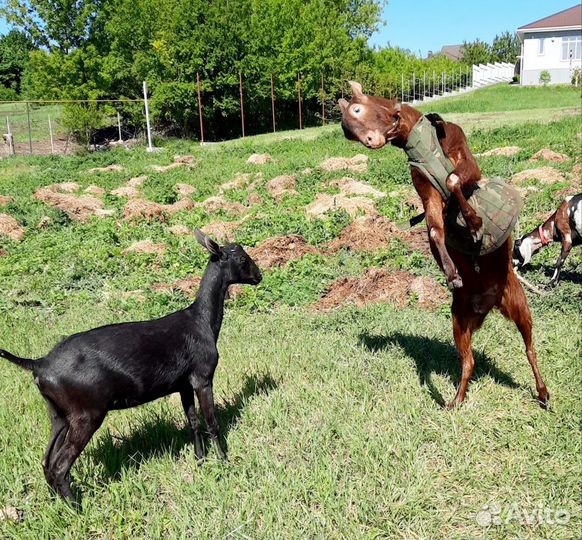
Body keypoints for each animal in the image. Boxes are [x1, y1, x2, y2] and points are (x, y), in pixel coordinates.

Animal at [0, 229, 262, 502]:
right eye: (242, 259)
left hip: (58, 415)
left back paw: (58, 502)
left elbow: (194, 421)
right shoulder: (203, 376)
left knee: (47, 462)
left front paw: (200, 460)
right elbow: (212, 422)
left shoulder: (183, 384)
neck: (201, 322)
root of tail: (39, 364)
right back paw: (75, 506)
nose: (259, 276)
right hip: (86, 414)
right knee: (60, 465)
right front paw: (223, 462)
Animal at [340, 82, 548, 408]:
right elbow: (435, 230)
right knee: (469, 361)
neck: (418, 138)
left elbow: (452, 180)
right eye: (347, 132)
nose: (370, 141)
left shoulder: (466, 161)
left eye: (358, 110)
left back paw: (543, 393)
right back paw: (455, 401)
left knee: (529, 348)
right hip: (459, 318)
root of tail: (489, 303)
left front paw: (474, 223)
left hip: (518, 302)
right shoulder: (425, 188)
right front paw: (451, 272)